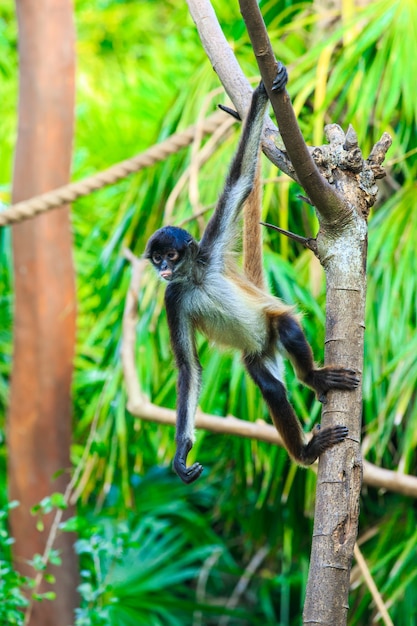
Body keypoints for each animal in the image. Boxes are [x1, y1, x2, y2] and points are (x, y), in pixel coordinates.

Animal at [144, 63, 358, 482]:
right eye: (157, 260)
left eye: (171, 256)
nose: (163, 270)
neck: (194, 279)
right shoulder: (173, 297)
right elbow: (188, 368)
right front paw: (181, 453)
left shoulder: (207, 251)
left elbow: (240, 180)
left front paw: (264, 89)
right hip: (258, 355)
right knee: (272, 388)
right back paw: (306, 452)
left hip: (271, 321)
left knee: (288, 327)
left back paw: (313, 380)